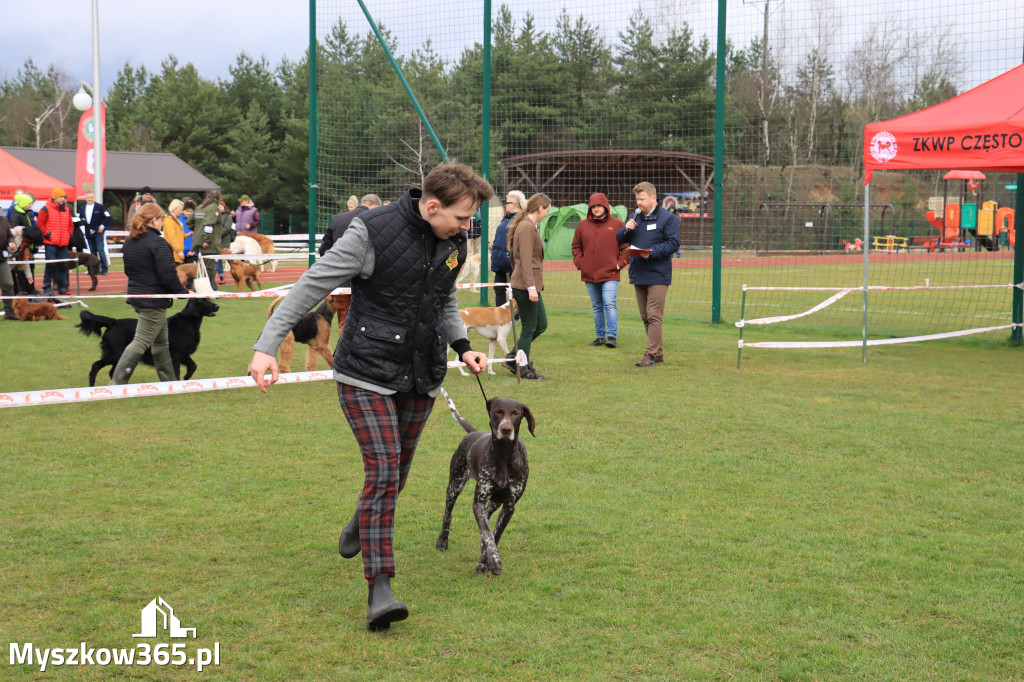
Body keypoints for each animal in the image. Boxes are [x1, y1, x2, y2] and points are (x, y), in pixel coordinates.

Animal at [75, 296, 220, 382]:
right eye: (203, 301)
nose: (217, 306)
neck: (188, 321)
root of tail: (113, 322)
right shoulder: (176, 355)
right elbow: (177, 371)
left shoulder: (184, 354)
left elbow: (193, 366)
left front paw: (187, 377)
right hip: (115, 353)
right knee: (96, 365)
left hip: (119, 355)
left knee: (112, 371)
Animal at [434, 387, 536, 573]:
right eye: (498, 411)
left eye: (516, 413)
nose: (506, 429)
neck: (504, 456)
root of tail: (474, 432)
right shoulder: (479, 502)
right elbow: (488, 534)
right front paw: (492, 560)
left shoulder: (509, 507)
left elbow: (494, 535)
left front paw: (484, 562)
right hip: (454, 485)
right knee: (448, 513)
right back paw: (442, 541)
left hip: (495, 501)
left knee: (487, 519)